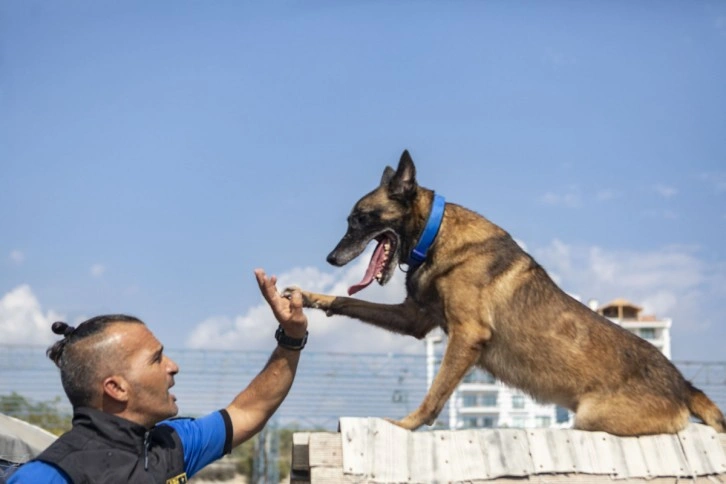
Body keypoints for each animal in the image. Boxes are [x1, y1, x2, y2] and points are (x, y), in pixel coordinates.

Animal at [292, 150, 724, 434]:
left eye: (359, 219)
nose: (331, 258)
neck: (435, 234)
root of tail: (683, 385)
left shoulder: (467, 335)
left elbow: (435, 395)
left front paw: (406, 425)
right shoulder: (415, 319)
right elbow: (351, 300)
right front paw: (313, 297)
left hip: (591, 416)